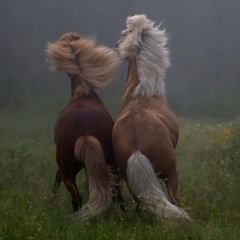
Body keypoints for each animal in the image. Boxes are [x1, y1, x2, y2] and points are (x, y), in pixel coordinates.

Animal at [45, 31, 124, 219]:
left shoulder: (64, 169)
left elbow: (57, 179)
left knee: (78, 198)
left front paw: (49, 201)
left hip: (69, 171)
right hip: (108, 163)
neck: (83, 94)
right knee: (115, 193)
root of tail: (83, 130)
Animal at [112, 15, 189, 220]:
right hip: (171, 174)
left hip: (131, 181)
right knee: (173, 200)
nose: (117, 45)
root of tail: (136, 147)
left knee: (141, 205)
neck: (143, 91)